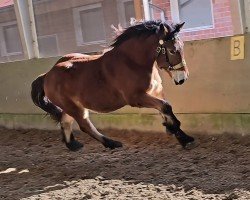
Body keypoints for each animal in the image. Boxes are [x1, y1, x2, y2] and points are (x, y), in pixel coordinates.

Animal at [31, 20, 195, 152]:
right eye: (173, 50)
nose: (182, 78)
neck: (133, 62)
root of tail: (47, 75)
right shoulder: (136, 98)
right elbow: (166, 107)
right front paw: (180, 134)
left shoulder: (155, 92)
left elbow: (165, 109)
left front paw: (180, 135)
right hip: (74, 107)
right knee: (84, 125)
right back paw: (112, 143)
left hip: (72, 106)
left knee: (65, 121)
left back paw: (73, 145)